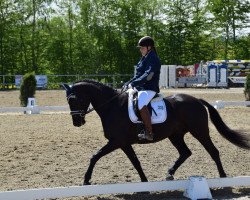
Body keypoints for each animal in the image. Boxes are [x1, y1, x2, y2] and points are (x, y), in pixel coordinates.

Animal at [61, 79, 250, 185]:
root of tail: (196, 99)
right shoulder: (124, 143)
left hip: (199, 132)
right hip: (175, 135)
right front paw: (144, 181)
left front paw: (86, 179)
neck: (112, 106)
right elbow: (135, 162)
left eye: (74, 99)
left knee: (213, 151)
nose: (77, 122)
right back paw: (170, 174)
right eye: (68, 100)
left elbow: (94, 156)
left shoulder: (116, 141)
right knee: (185, 152)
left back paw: (223, 176)